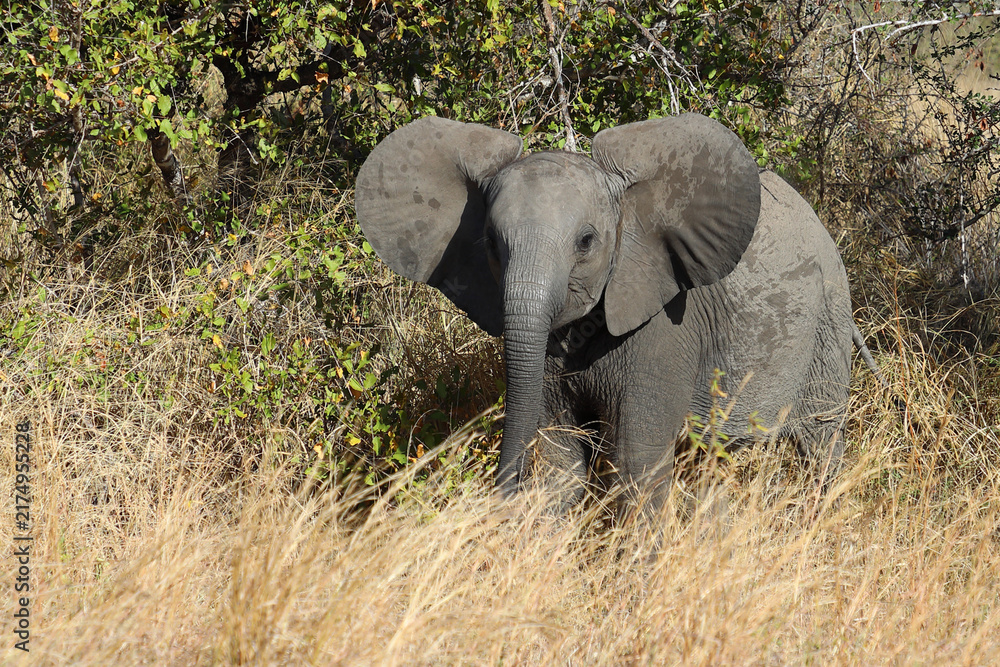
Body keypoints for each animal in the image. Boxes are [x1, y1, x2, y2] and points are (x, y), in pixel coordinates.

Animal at [355, 113, 870, 514]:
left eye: (586, 242)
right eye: (491, 245)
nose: (498, 503)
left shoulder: (665, 325)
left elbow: (635, 463)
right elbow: (561, 464)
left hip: (828, 316)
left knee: (820, 444)